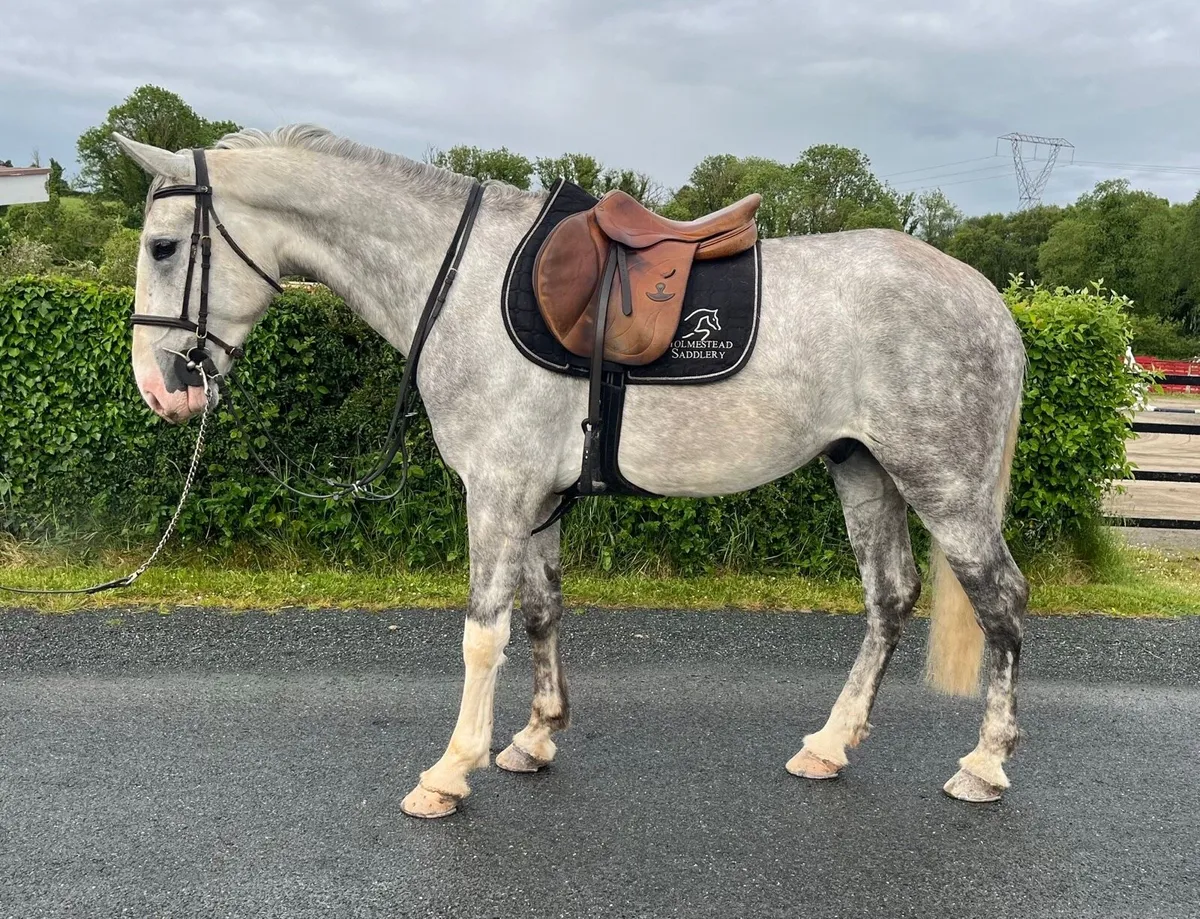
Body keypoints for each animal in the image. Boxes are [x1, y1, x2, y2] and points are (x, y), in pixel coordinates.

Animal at [114, 126, 1028, 819]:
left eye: (163, 245)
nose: (159, 390)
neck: (461, 281)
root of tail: (989, 300)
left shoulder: (496, 488)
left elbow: (483, 632)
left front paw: (450, 770)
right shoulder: (539, 497)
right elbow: (542, 612)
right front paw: (534, 736)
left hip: (945, 486)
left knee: (1002, 603)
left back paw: (984, 764)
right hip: (865, 470)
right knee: (890, 598)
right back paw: (831, 745)